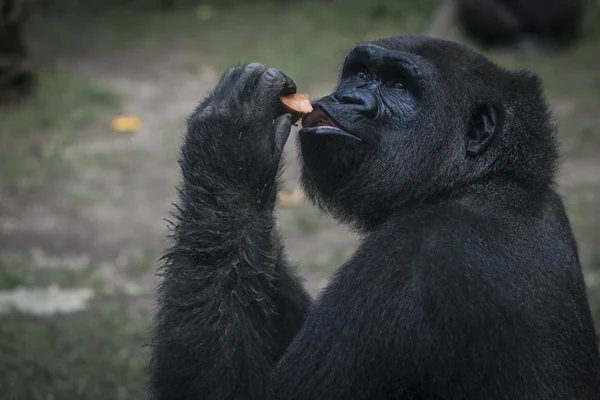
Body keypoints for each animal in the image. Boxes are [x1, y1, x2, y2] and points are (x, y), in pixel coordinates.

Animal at [149, 35, 600, 400]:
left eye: (399, 85)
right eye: (360, 73)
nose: (348, 98)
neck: (480, 180)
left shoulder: (409, 260)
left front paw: (231, 145)